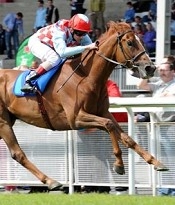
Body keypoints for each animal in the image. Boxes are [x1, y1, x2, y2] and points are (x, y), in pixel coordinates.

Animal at [0, 21, 167, 190]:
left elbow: (126, 137)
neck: (86, 76)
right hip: (4, 122)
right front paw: (119, 164)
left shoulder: (102, 112)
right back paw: (51, 181)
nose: (150, 67)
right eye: (130, 42)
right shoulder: (75, 119)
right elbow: (109, 125)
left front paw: (156, 162)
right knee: (18, 154)